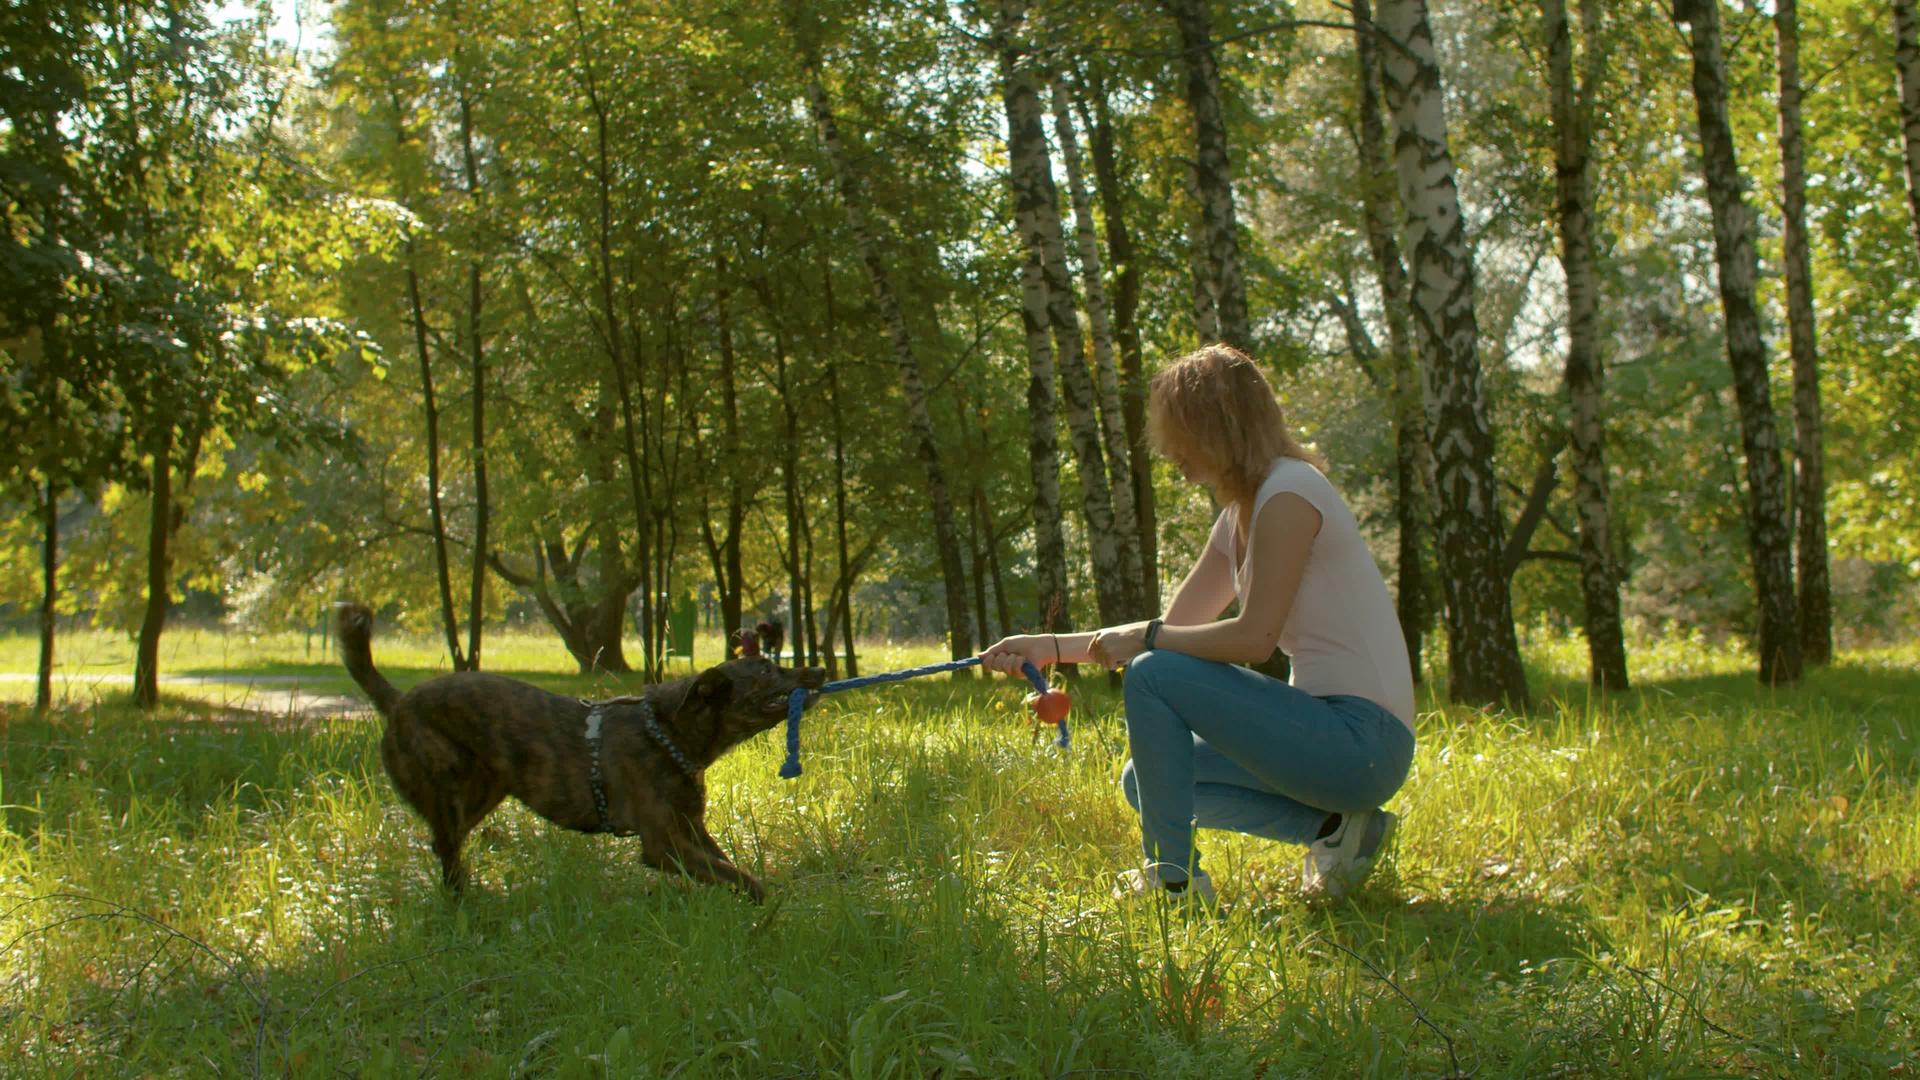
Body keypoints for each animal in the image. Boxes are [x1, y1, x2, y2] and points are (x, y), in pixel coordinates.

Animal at [334, 599, 821, 895]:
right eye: (768, 672)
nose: (818, 670)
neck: (668, 732)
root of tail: (397, 702)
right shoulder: (663, 845)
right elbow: (740, 879)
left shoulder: (692, 831)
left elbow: (726, 866)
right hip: (446, 790)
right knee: (445, 846)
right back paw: (463, 902)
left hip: (484, 791)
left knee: (445, 844)